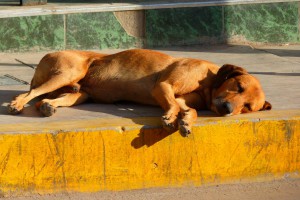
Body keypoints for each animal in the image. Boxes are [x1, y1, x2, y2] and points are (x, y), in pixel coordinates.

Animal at [8, 49, 272, 136]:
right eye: (238, 87)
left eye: (247, 107)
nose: (227, 110)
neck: (209, 80)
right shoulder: (163, 86)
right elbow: (172, 104)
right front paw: (170, 117)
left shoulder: (183, 98)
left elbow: (190, 109)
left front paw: (186, 121)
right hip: (67, 72)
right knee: (30, 93)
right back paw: (17, 104)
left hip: (80, 93)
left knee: (49, 99)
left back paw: (48, 106)